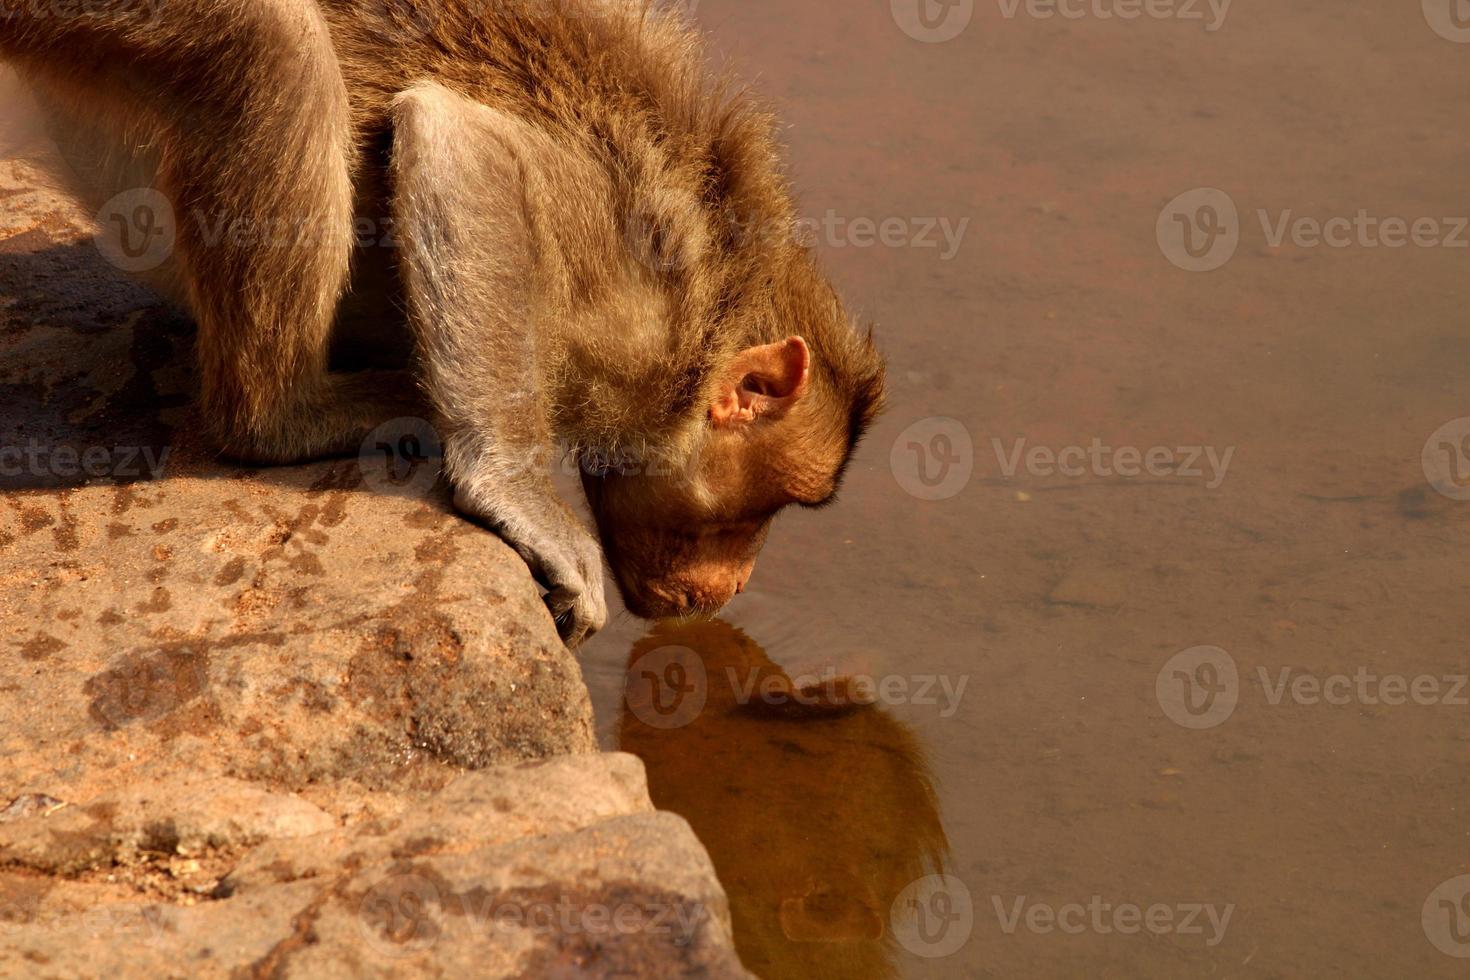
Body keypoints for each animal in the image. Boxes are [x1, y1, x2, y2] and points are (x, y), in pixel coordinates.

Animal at [0, 0, 882, 646]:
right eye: (757, 511)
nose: (730, 590)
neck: (700, 326)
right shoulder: (627, 290)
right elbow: (458, 140)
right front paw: (520, 492)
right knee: (273, 45)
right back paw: (284, 416)